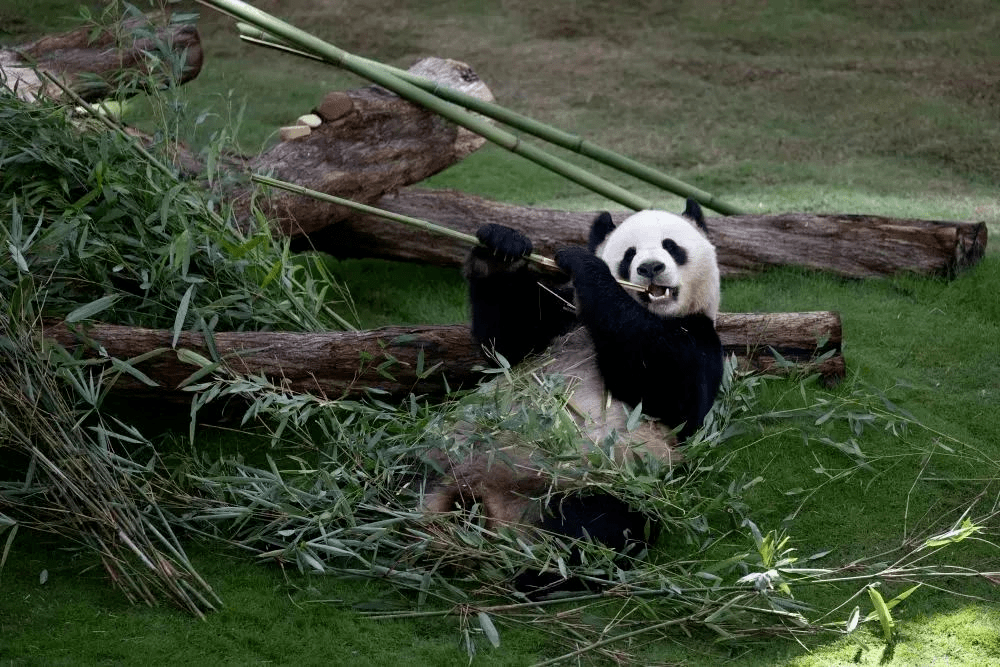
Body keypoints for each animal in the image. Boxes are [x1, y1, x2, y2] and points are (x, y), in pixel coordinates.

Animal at [426, 200, 724, 588]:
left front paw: (584, 264)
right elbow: (507, 343)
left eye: (671, 246)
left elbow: (668, 385)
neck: (651, 312)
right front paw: (501, 247)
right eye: (629, 254)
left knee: (597, 528)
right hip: (439, 455)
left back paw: (539, 574)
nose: (650, 268)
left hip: (602, 484)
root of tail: (491, 507)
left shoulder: (700, 343)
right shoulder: (562, 322)